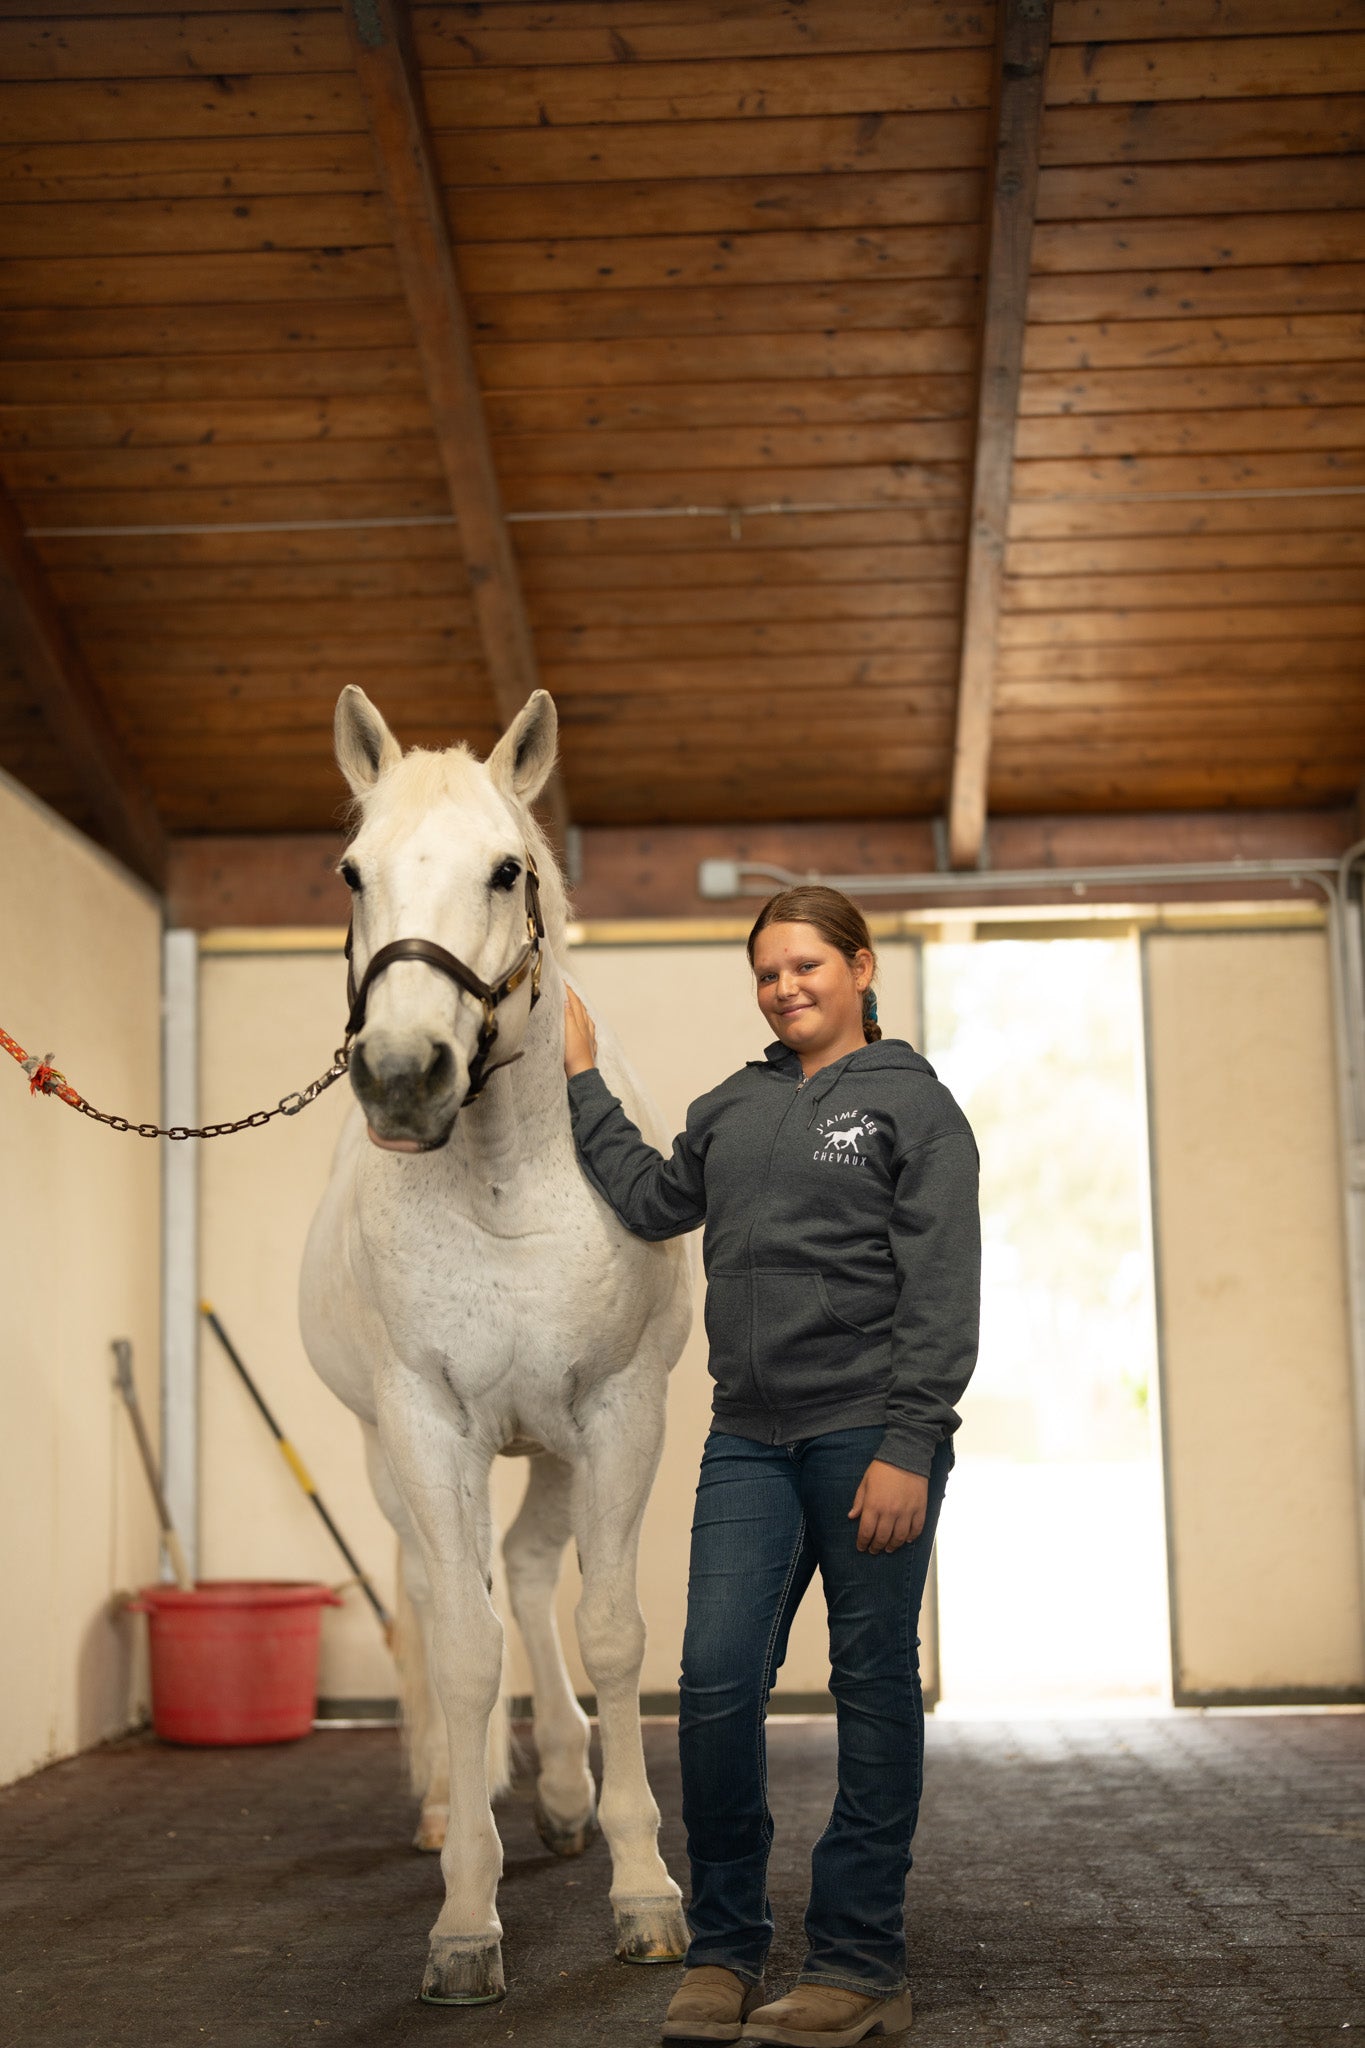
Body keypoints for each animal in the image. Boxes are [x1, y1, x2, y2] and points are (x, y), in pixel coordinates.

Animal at [299, 684, 692, 2004]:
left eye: (506, 867)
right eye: (352, 870)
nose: (403, 1074)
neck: (505, 1182)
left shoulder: (616, 1412)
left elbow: (612, 1632)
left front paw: (643, 1885)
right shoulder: (429, 1427)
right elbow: (467, 1651)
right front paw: (465, 1912)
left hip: (555, 1445)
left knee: (521, 1569)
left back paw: (569, 1789)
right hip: (391, 1453)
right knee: (439, 1592)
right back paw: (441, 1800)